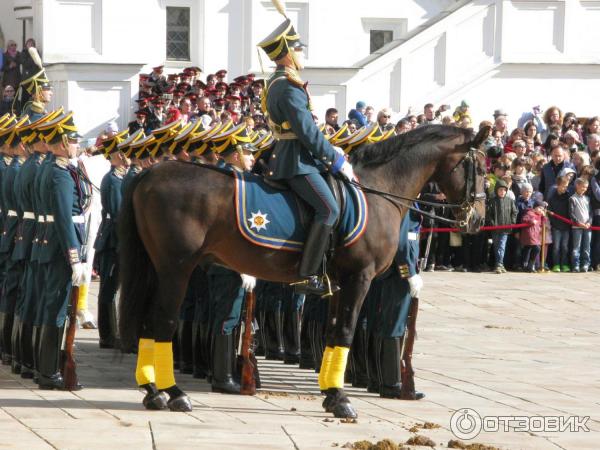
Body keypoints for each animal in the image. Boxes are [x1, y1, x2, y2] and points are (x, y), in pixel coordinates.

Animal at [119, 125, 490, 416]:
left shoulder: (338, 283)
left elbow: (332, 332)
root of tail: (150, 174)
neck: (378, 192)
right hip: (176, 268)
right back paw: (173, 393)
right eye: (483, 167)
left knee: (148, 322)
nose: (478, 219)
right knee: (162, 321)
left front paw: (330, 394)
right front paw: (341, 399)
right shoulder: (360, 278)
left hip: (156, 267)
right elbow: (346, 332)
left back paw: (152, 391)